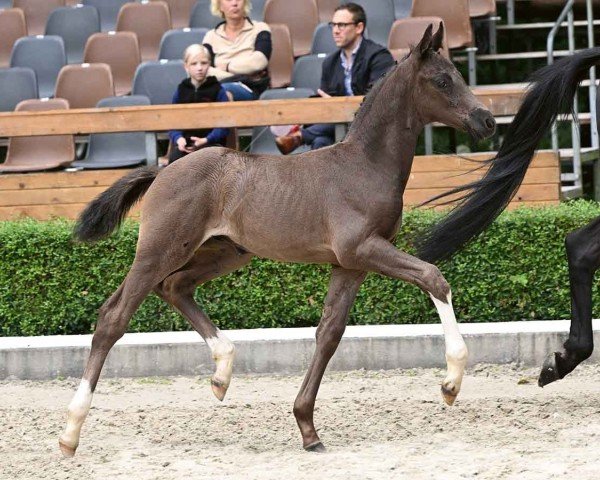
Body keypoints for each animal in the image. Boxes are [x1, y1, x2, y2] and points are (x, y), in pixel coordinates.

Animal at [58, 23, 494, 458]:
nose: (487, 120)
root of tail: (163, 170)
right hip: (160, 250)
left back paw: (222, 373)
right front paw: (451, 382)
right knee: (114, 317)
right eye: (442, 80)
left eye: (457, 74)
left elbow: (329, 333)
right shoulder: (362, 248)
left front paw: (307, 428)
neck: (365, 166)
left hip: (225, 253)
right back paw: (70, 432)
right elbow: (433, 276)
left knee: (175, 287)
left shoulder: (350, 264)